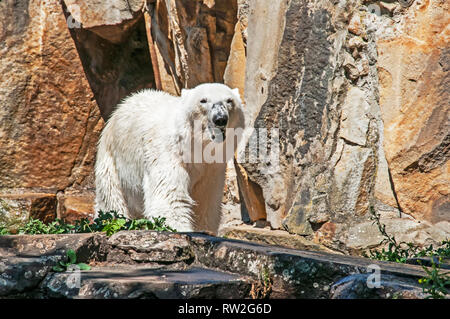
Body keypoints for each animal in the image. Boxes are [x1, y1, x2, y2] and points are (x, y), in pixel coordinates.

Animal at [92, 83, 244, 235]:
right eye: (203, 100)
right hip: (111, 162)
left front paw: (204, 230)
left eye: (229, 100)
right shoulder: (167, 154)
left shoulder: (211, 169)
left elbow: (205, 201)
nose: (220, 118)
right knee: (111, 199)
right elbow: (169, 196)